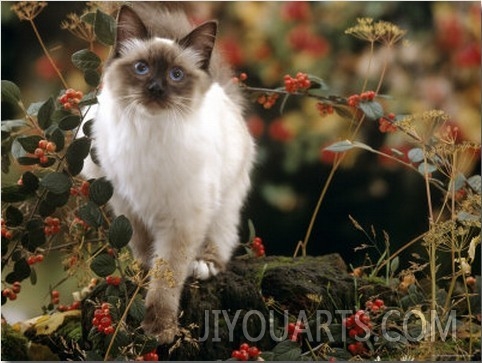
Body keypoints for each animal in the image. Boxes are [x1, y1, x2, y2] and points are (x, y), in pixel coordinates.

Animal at [82, 2, 256, 344]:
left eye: (176, 75)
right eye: (141, 69)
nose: (155, 89)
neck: (151, 133)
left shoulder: (182, 219)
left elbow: (166, 279)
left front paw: (158, 329)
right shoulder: (130, 208)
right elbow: (146, 254)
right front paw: (141, 278)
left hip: (223, 204)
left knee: (223, 237)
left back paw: (204, 264)